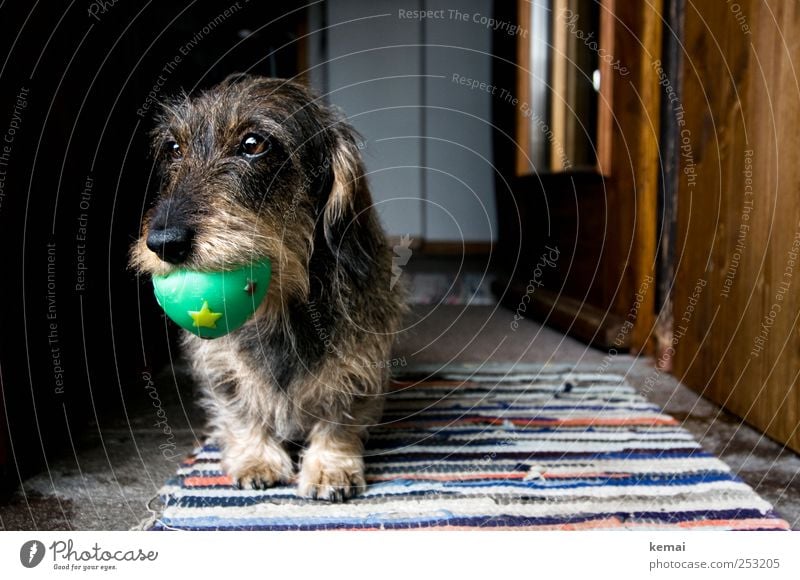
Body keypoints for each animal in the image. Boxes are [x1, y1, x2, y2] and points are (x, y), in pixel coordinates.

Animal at [133, 75, 406, 500]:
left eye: (254, 144)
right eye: (173, 148)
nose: (163, 243)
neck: (280, 304)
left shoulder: (358, 363)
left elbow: (339, 416)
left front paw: (330, 467)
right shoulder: (222, 368)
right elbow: (241, 410)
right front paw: (256, 459)